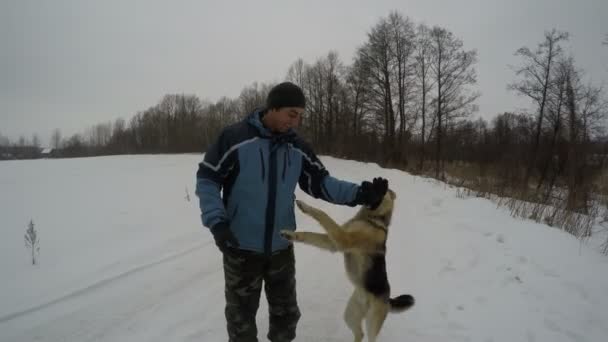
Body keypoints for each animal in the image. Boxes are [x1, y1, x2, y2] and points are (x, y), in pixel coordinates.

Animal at [280, 191, 414, 340]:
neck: (372, 218)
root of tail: (388, 299)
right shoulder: (332, 243)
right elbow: (310, 235)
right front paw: (290, 234)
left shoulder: (344, 239)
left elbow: (323, 215)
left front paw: (305, 206)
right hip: (350, 314)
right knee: (359, 333)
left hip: (372, 322)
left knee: (369, 336)